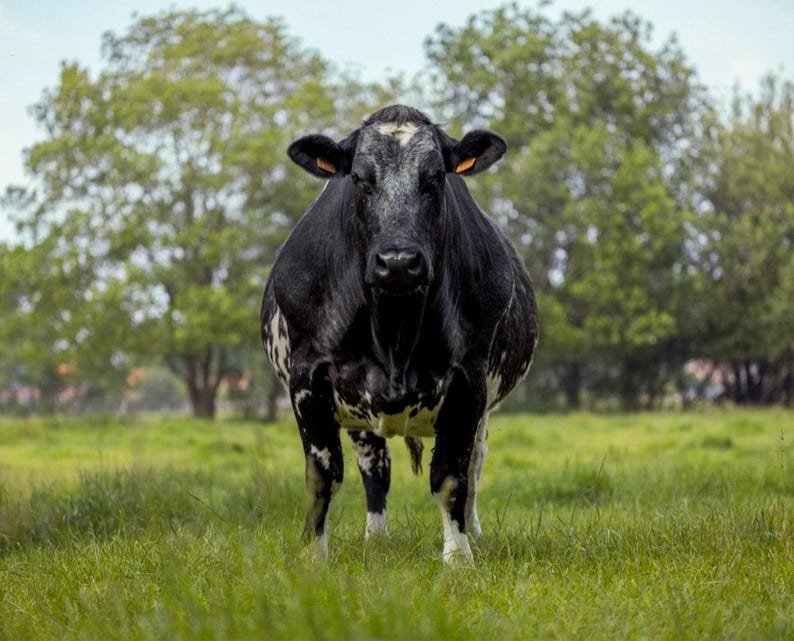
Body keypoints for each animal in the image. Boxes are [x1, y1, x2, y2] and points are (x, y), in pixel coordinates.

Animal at [261, 105, 538, 563]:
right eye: (359, 178)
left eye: (436, 177)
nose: (397, 262)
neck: (395, 331)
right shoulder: (308, 378)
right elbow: (323, 476)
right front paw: (314, 557)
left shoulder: (468, 381)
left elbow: (451, 478)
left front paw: (459, 556)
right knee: (375, 469)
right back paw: (375, 538)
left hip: (482, 409)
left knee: (474, 462)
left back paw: (474, 532)